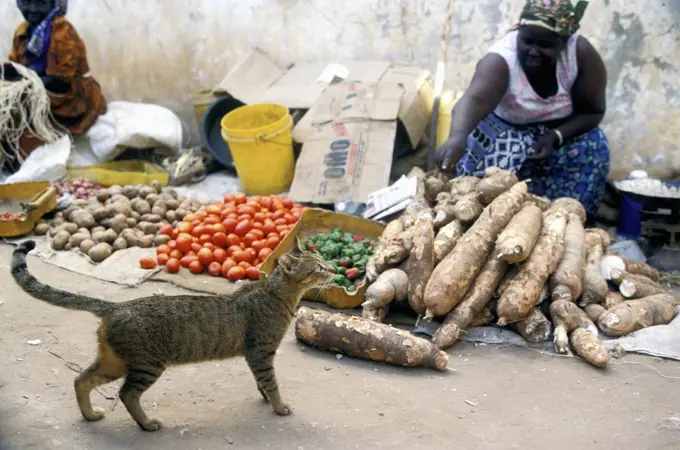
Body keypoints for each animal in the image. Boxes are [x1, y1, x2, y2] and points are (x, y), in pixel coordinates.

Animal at [9, 241, 330, 430]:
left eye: (323, 260)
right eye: (318, 267)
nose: (332, 269)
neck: (275, 294)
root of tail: (116, 306)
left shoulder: (256, 356)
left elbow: (262, 383)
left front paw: (266, 398)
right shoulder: (261, 352)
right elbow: (271, 383)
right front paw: (279, 407)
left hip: (114, 363)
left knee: (80, 380)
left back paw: (90, 415)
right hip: (147, 365)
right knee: (126, 393)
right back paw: (147, 424)